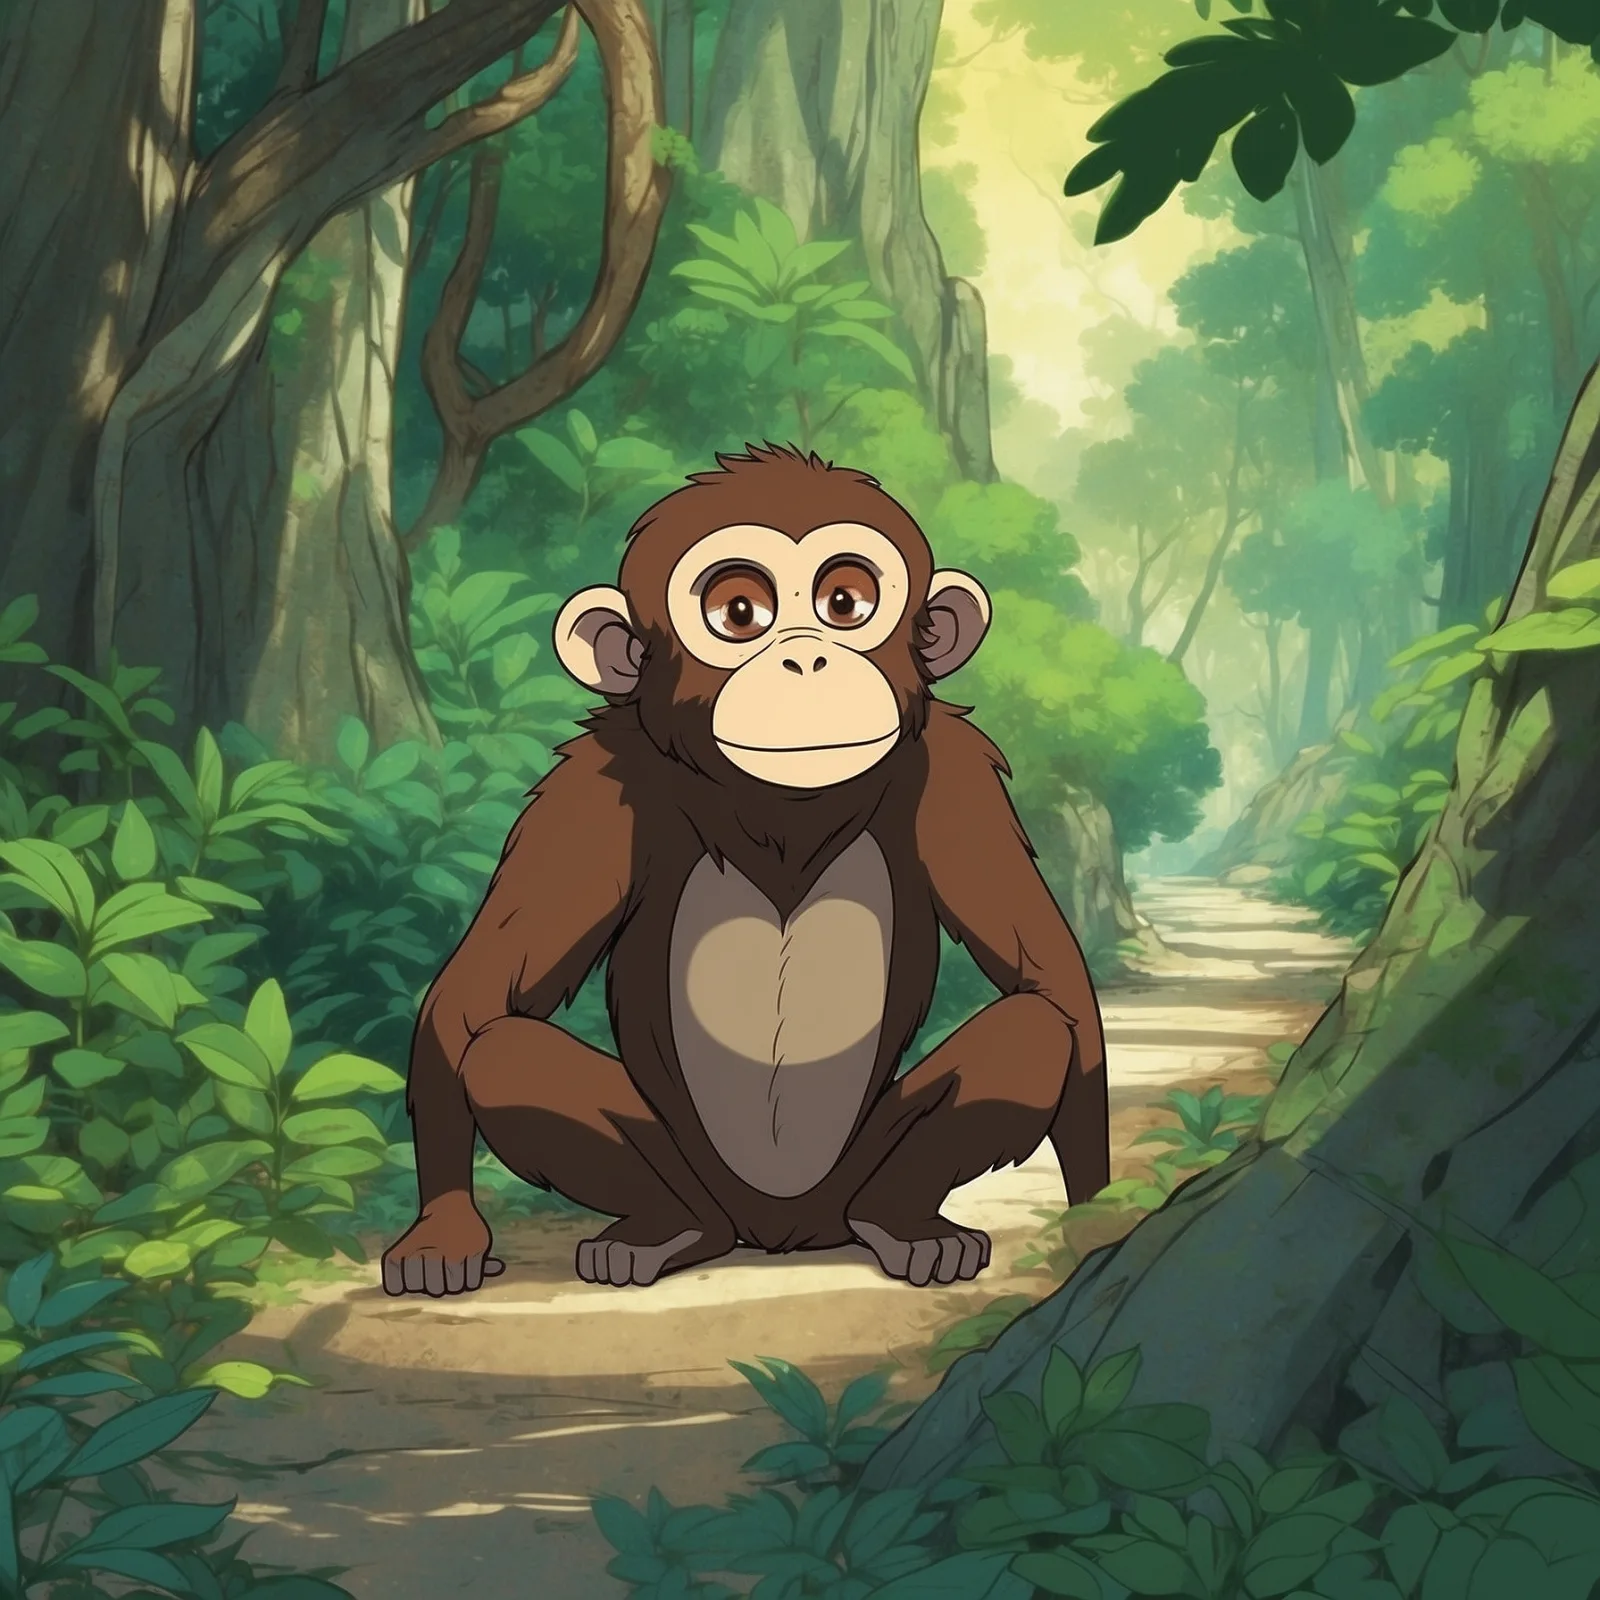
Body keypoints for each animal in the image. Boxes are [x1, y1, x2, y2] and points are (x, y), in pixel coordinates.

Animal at [380, 443, 1109, 1297]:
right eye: (738, 612)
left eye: (845, 600)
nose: (807, 656)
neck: (777, 808)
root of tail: (778, 1235)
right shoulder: (591, 795)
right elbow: (474, 1001)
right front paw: (442, 1229)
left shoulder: (955, 780)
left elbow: (1051, 984)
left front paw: (1101, 1212)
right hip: (704, 1179)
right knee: (507, 1057)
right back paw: (668, 1229)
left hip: (845, 1183)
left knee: (1031, 1034)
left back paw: (901, 1222)